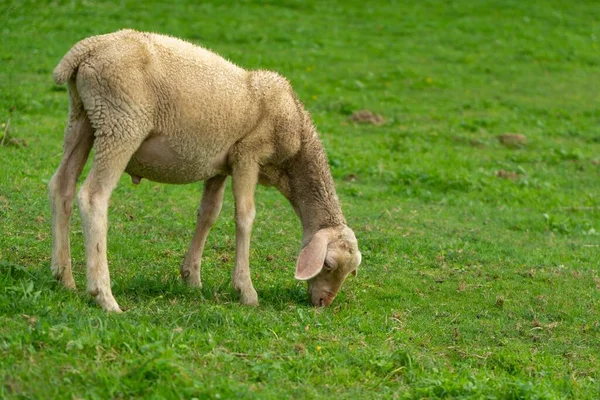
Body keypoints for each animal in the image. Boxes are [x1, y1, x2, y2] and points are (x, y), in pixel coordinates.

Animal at [49, 30, 360, 312]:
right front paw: (246, 291)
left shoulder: (220, 167)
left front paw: (192, 278)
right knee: (93, 197)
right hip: (121, 123)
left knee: (61, 185)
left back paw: (64, 278)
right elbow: (245, 216)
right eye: (328, 264)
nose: (323, 303)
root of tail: (87, 49)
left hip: (83, 118)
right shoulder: (247, 155)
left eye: (350, 272)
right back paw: (103, 295)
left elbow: (208, 214)